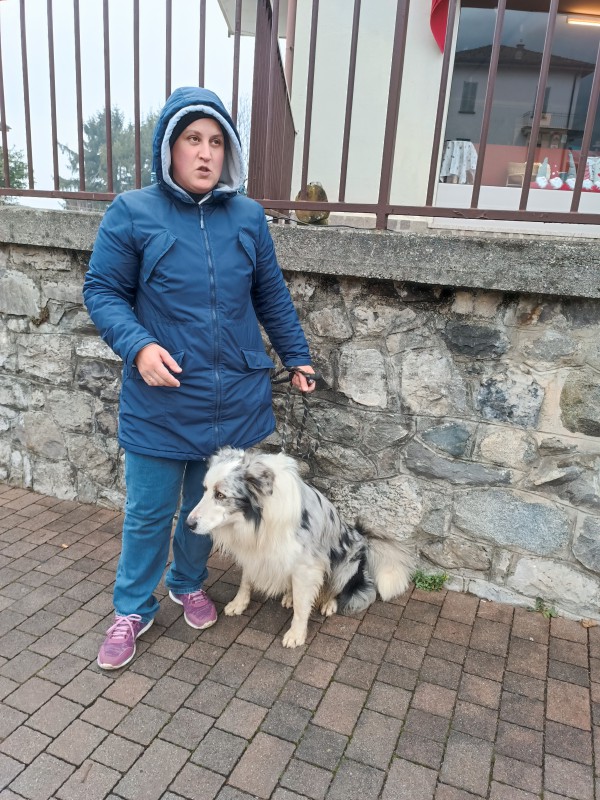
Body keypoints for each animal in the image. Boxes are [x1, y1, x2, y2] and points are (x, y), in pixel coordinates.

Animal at [186, 447, 415, 647]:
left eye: (221, 495)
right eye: (205, 490)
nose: (188, 524)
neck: (260, 518)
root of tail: (361, 536)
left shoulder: (307, 565)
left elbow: (302, 605)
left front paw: (296, 634)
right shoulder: (254, 551)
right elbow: (246, 580)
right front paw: (238, 603)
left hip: (346, 563)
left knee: (335, 588)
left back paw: (328, 603)